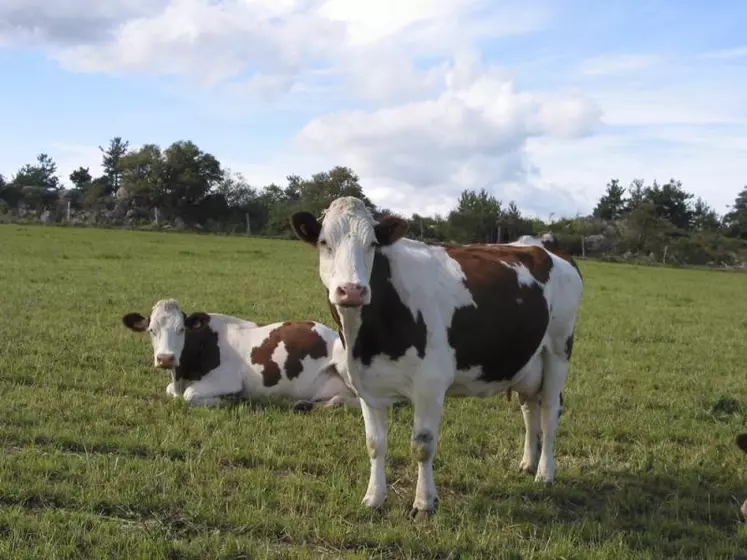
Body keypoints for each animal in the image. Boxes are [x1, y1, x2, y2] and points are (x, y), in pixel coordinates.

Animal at [122, 300, 360, 410]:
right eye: (151, 330)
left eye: (181, 329)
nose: (166, 358)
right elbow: (170, 390)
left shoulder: (227, 380)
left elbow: (190, 395)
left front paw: (228, 400)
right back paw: (304, 404)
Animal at [290, 196, 584, 516]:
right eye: (324, 242)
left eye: (372, 244)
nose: (352, 290)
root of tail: (543, 244)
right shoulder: (367, 386)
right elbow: (374, 444)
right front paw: (374, 498)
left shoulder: (430, 385)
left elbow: (422, 446)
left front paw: (423, 502)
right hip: (527, 360)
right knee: (529, 407)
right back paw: (528, 463)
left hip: (558, 349)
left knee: (549, 411)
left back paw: (545, 473)